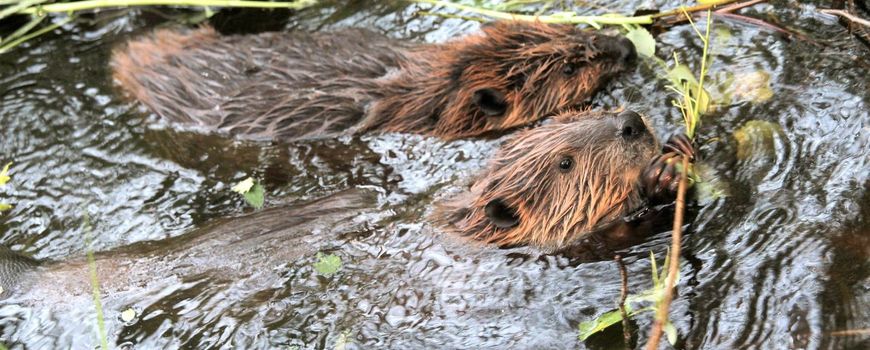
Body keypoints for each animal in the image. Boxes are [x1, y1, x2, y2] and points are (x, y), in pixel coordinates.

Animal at [0, 109, 696, 304]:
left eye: (582, 112)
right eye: (566, 163)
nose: (632, 122)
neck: (456, 216)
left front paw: (680, 147)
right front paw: (664, 174)